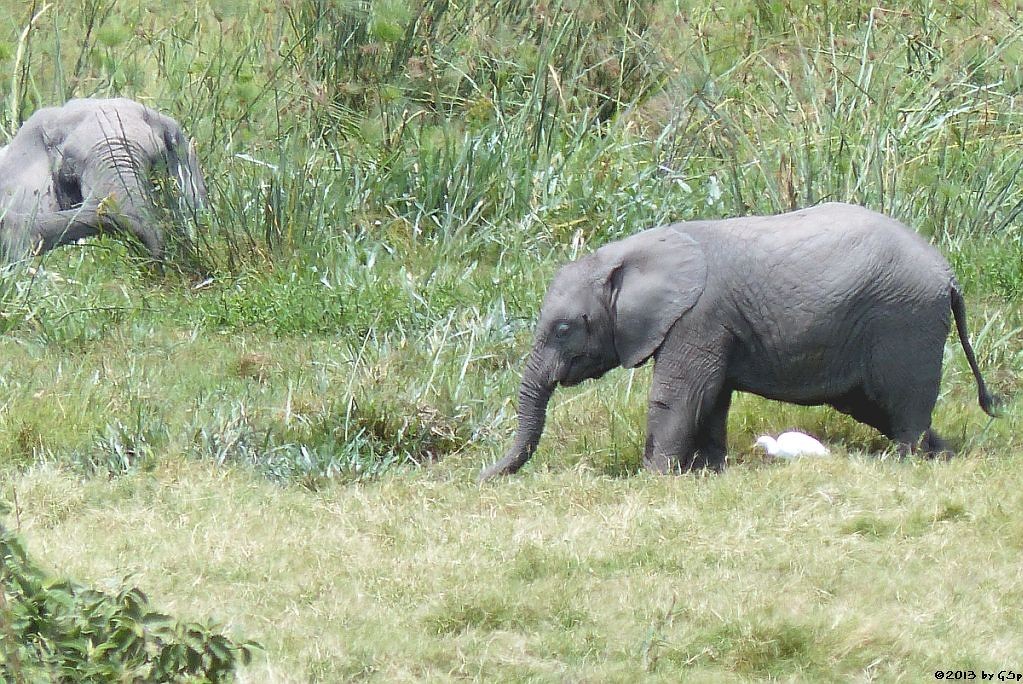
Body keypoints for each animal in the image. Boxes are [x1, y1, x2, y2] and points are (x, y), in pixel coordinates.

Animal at [478, 201, 998, 480]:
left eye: (564, 329)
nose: (479, 477)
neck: (629, 253)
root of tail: (948, 274)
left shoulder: (698, 317)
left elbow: (680, 393)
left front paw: (653, 479)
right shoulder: (717, 325)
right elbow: (713, 397)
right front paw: (708, 473)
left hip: (905, 320)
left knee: (901, 402)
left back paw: (908, 462)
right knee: (880, 407)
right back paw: (945, 454)